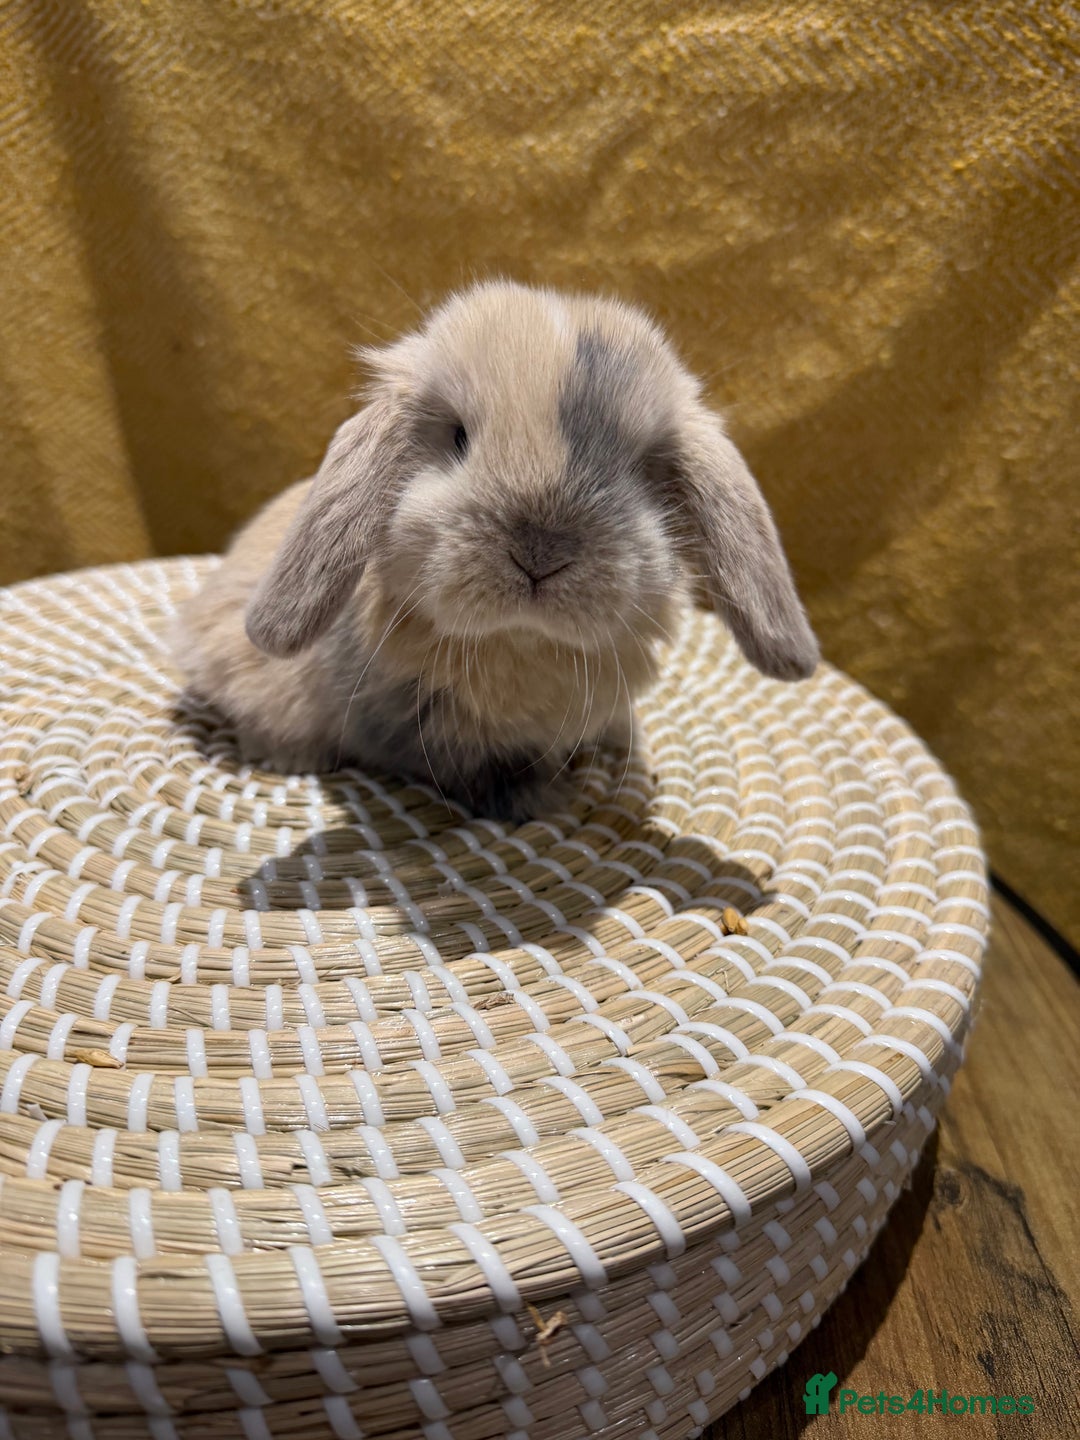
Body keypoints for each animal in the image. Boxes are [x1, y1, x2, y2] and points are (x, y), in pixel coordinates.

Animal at [173, 280, 818, 820]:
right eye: (458, 438)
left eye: (641, 468)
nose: (539, 555)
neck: (523, 642)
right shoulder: (416, 730)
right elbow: (478, 769)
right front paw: (543, 799)